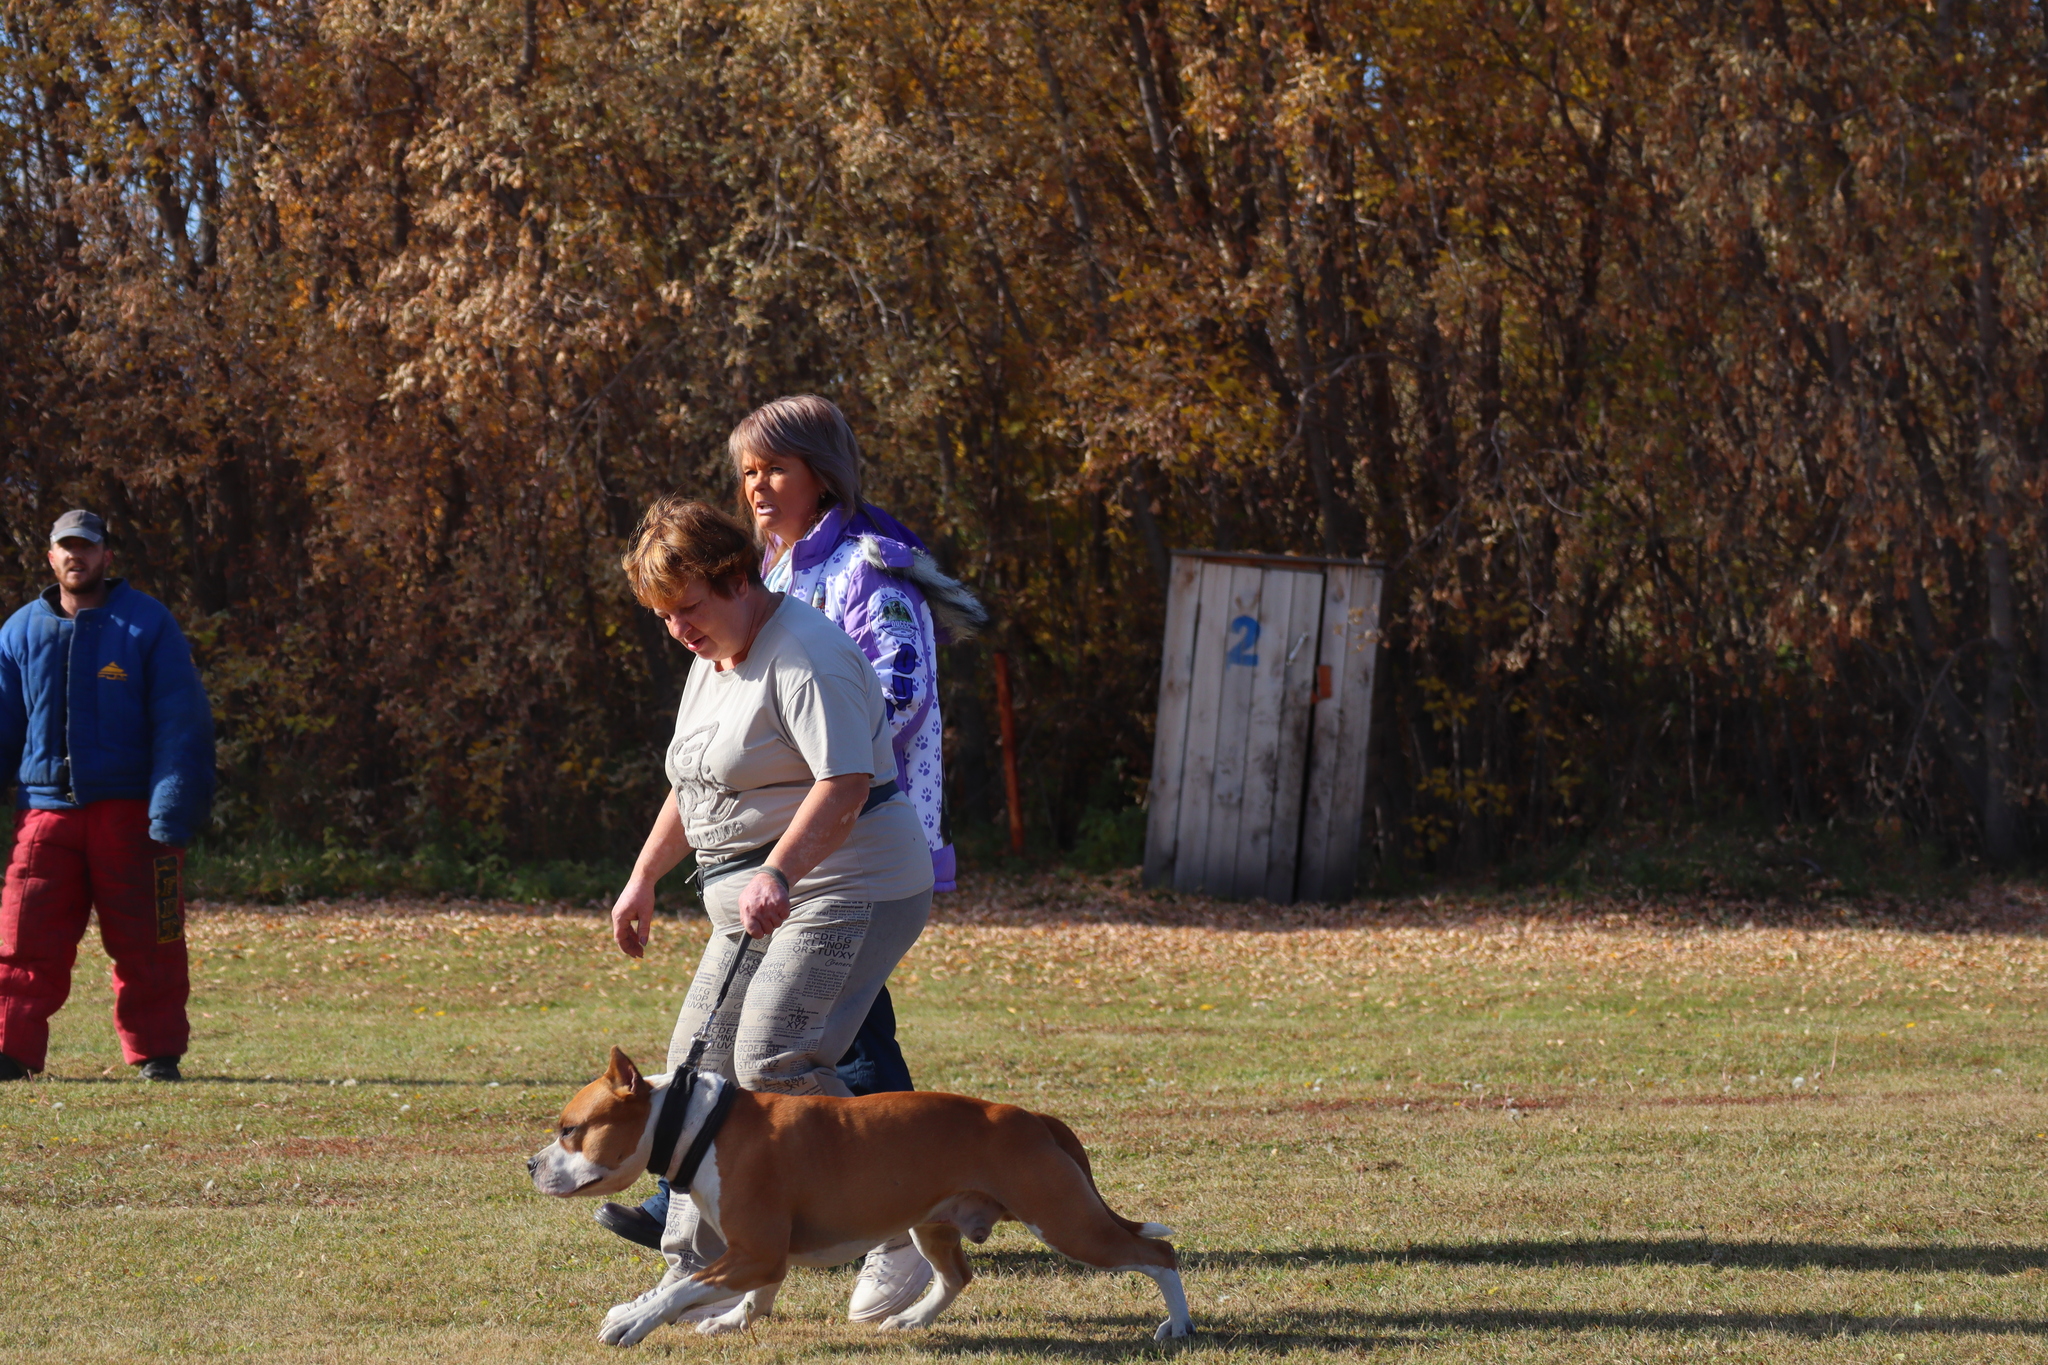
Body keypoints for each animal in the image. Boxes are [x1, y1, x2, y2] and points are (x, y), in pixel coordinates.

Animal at [528, 1047, 1196, 1342]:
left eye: (570, 1129)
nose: (531, 1163)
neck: (698, 1124)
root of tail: (1032, 1117)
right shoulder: (761, 1254)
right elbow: (755, 1295)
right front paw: (732, 1320)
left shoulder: (754, 1251)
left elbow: (684, 1287)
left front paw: (635, 1321)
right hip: (936, 1223)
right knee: (956, 1276)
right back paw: (911, 1319)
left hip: (1065, 1222)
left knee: (1159, 1255)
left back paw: (1179, 1326)